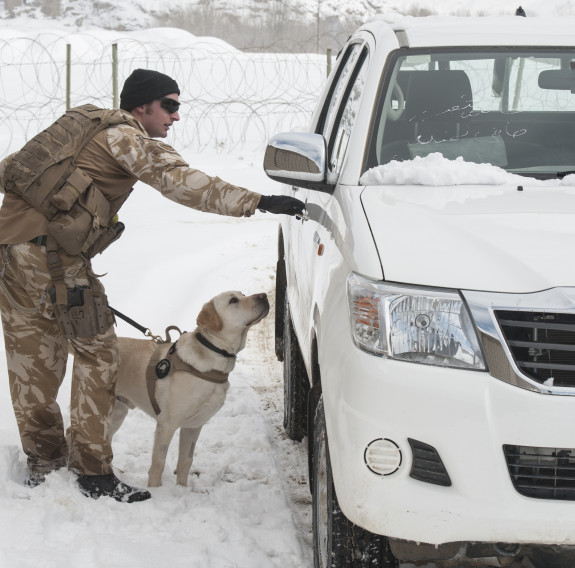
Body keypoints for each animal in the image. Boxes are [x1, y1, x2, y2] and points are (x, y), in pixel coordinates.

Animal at [111, 292, 272, 488]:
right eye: (233, 300)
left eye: (243, 294)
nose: (264, 295)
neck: (215, 355)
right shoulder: (166, 424)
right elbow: (158, 463)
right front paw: (155, 490)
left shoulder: (193, 426)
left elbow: (186, 461)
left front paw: (182, 488)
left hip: (117, 414)